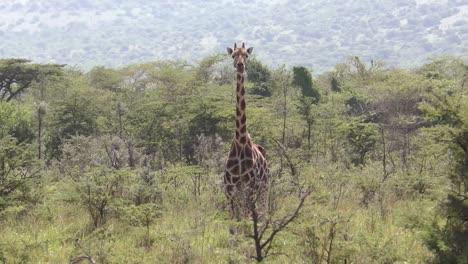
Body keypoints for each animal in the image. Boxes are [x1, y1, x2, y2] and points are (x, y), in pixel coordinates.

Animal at [224, 43, 270, 225]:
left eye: (247, 56)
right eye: (233, 55)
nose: (240, 65)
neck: (240, 141)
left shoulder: (248, 187)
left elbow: (245, 219)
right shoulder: (229, 189)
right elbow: (233, 222)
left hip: (264, 187)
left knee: (263, 213)